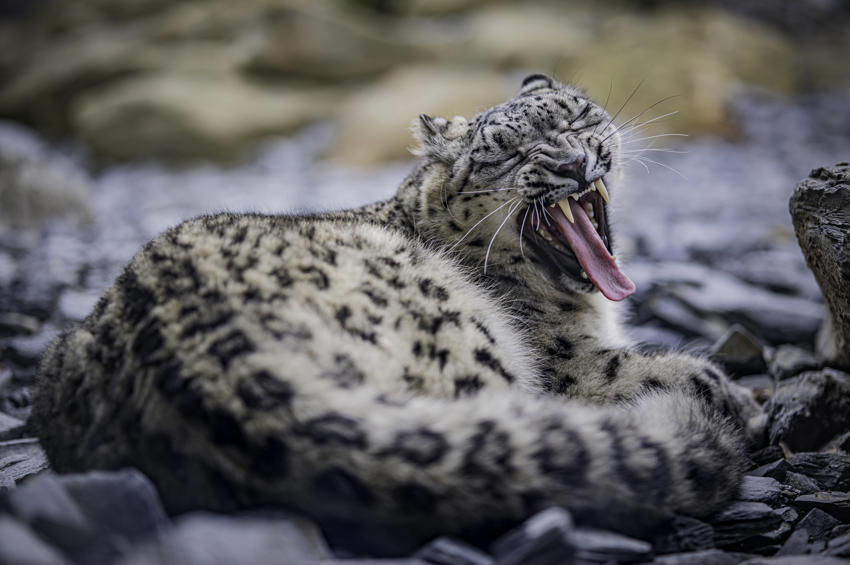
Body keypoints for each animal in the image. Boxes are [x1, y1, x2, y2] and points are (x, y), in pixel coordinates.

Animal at [30, 74, 763, 551]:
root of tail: (217, 361)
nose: (574, 160)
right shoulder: (574, 367)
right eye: (506, 153)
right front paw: (739, 396)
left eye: (576, 114)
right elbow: (670, 371)